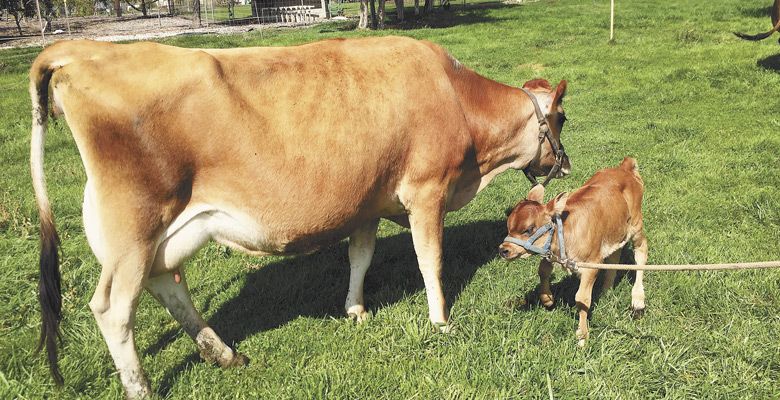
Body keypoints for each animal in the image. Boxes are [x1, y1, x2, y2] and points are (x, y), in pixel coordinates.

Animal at [30, 36, 568, 396]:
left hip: (168, 229)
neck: (456, 98)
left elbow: (360, 257)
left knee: (168, 283)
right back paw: (140, 387)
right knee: (114, 309)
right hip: (133, 226)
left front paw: (355, 310)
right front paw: (441, 321)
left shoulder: (365, 201)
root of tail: (84, 49)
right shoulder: (426, 191)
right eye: (562, 117)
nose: (564, 164)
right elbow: (429, 260)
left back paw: (225, 354)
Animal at [500, 158, 644, 346]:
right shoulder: (552, 253)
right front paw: (547, 299)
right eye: (508, 226)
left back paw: (638, 299)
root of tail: (624, 167)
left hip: (636, 226)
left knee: (641, 256)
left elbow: (582, 299)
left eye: (529, 229)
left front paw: (582, 336)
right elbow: (542, 270)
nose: (503, 250)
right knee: (614, 256)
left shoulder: (591, 264)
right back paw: (606, 291)